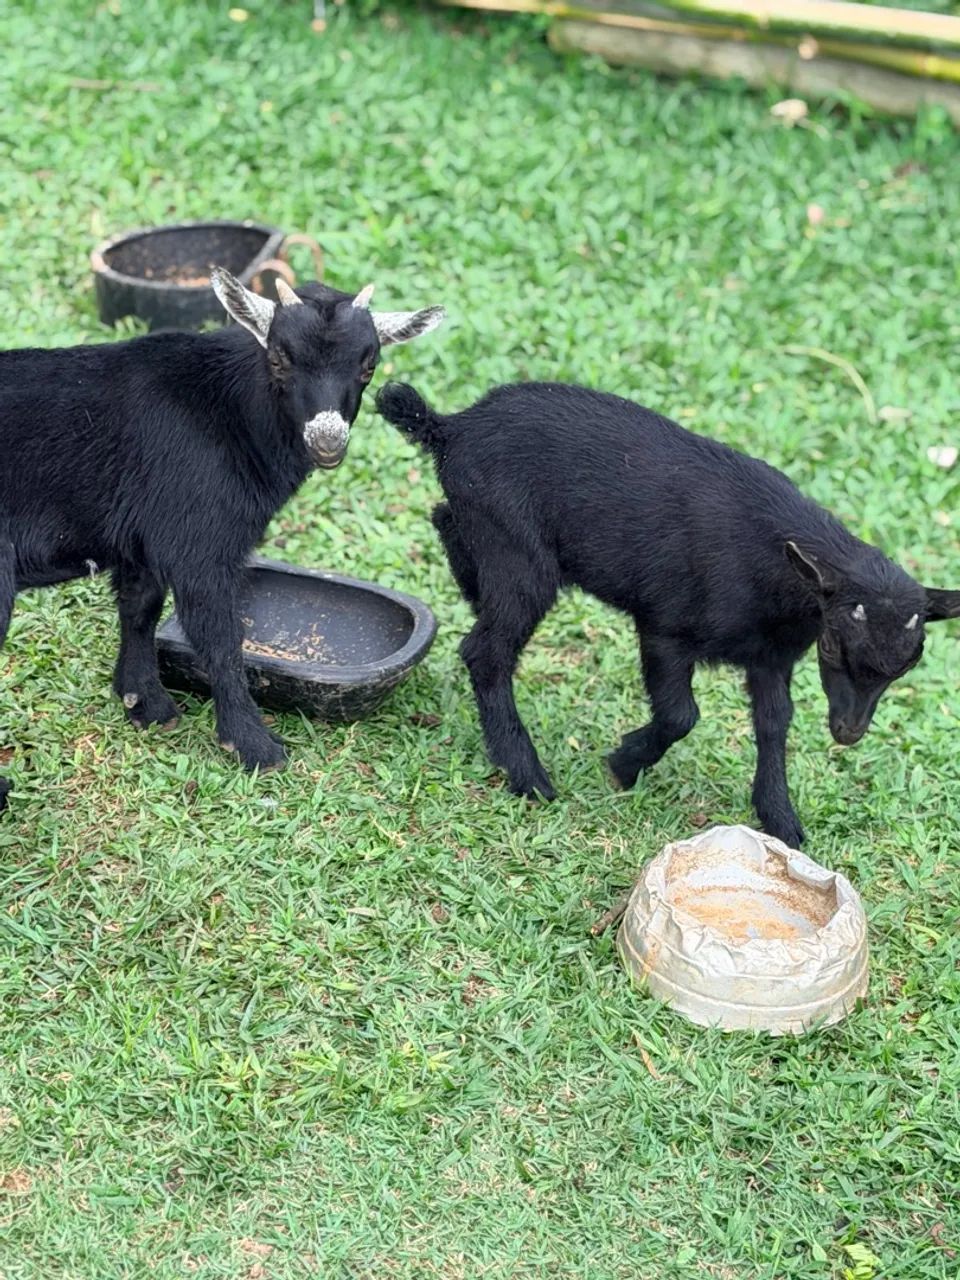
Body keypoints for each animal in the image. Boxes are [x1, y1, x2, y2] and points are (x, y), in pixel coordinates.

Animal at [0, 273, 444, 812]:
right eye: (278, 358)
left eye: (369, 364)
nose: (327, 442)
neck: (228, 412)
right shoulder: (200, 541)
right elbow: (219, 635)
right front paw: (253, 745)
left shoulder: (146, 538)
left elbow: (140, 608)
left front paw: (144, 702)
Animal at [377, 380, 960, 847]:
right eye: (837, 644)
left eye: (906, 666)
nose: (848, 732)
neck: (776, 569)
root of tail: (451, 427)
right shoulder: (666, 628)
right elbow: (682, 715)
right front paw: (624, 763)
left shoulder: (770, 658)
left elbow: (774, 723)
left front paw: (781, 820)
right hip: (520, 557)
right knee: (486, 651)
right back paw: (527, 773)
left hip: (493, 533)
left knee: (446, 521)